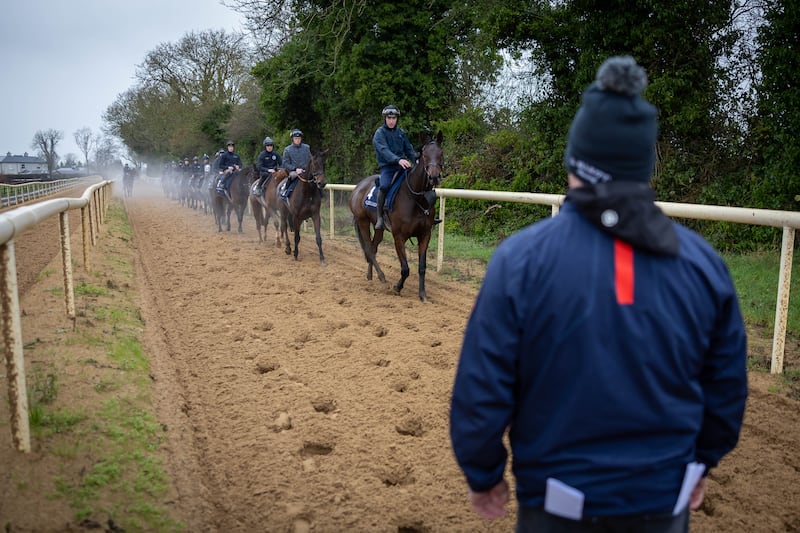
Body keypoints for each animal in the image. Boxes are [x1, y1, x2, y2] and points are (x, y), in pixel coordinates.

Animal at [346, 131, 444, 302]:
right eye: (424, 155)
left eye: (440, 153)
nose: (434, 176)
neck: (416, 198)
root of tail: (357, 188)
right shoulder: (399, 236)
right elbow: (405, 268)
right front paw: (397, 288)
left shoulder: (425, 234)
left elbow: (422, 267)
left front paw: (422, 294)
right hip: (362, 221)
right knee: (369, 249)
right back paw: (382, 276)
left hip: (378, 228)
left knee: (373, 247)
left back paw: (371, 275)